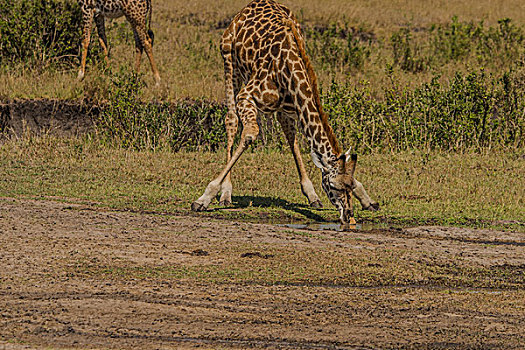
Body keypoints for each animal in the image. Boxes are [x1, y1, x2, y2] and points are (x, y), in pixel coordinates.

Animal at [190, 0, 378, 228]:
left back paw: (312, 195)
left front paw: (366, 199)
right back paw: (226, 193)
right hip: (228, 61)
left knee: (287, 132)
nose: (348, 217)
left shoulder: (294, 109)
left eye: (349, 186)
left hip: (279, 107)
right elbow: (249, 135)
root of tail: (248, 6)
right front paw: (204, 198)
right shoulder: (247, 96)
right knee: (232, 119)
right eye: (334, 186)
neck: (290, 72)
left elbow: (298, 140)